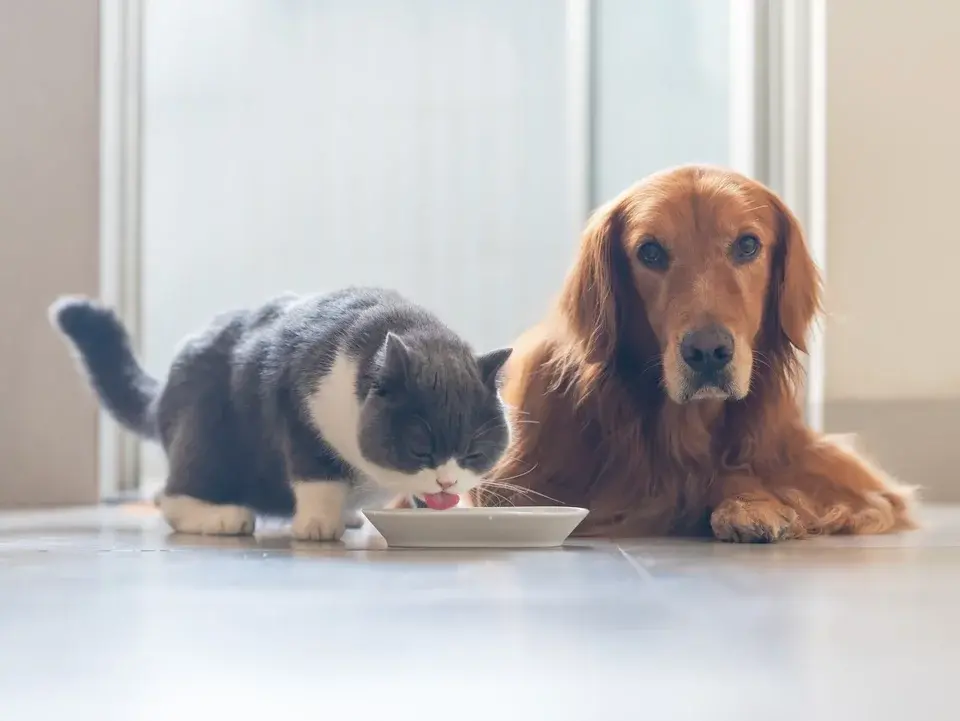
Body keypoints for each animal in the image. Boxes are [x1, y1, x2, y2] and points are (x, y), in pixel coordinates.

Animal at [53, 286, 512, 540]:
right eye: (420, 449)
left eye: (474, 453)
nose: (447, 481)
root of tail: (165, 388)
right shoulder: (297, 408)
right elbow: (318, 476)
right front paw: (317, 525)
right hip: (203, 427)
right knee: (173, 495)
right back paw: (223, 516)